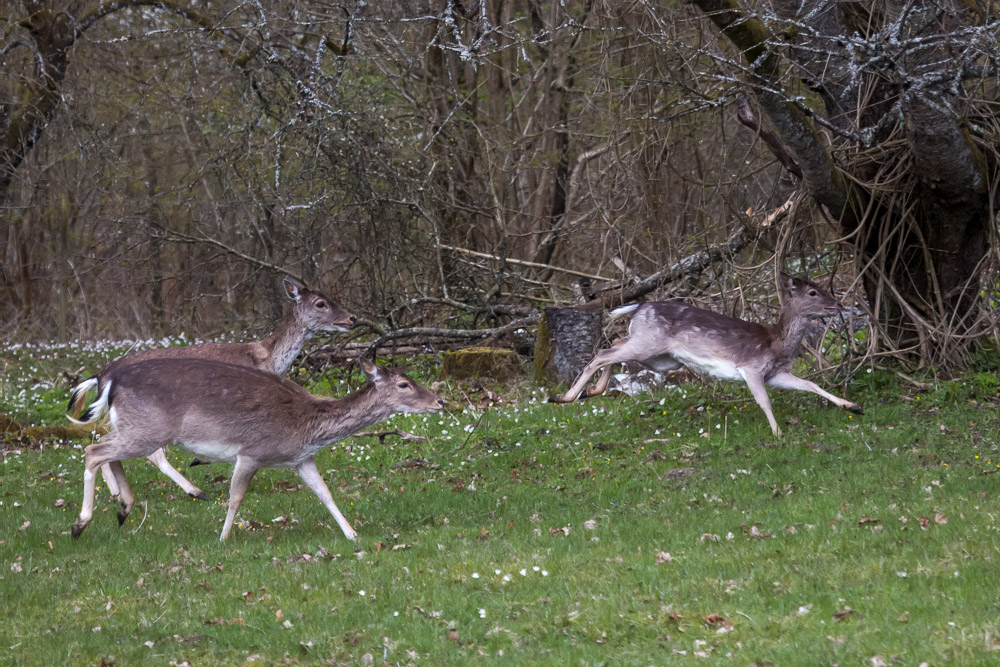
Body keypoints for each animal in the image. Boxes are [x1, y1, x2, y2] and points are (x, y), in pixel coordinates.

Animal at [66, 276, 356, 500]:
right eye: (320, 303)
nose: (352, 317)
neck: (267, 359)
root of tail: (101, 376)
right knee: (148, 451)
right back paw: (193, 491)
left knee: (102, 439)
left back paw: (116, 492)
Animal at [68, 358, 444, 540]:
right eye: (404, 384)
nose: (439, 401)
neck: (308, 424)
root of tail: (109, 382)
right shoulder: (252, 451)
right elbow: (235, 497)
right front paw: (223, 538)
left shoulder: (302, 459)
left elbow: (325, 493)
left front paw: (352, 534)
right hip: (148, 429)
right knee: (94, 451)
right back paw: (80, 524)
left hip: (135, 428)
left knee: (104, 450)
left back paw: (123, 508)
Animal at [548, 272, 860, 438]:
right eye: (812, 292)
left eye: (820, 288)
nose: (837, 304)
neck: (778, 343)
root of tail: (638, 307)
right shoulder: (751, 366)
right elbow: (764, 401)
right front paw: (778, 433)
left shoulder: (776, 373)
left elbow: (810, 384)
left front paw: (851, 405)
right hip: (650, 343)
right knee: (604, 352)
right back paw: (565, 396)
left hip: (660, 357)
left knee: (614, 349)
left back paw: (590, 391)